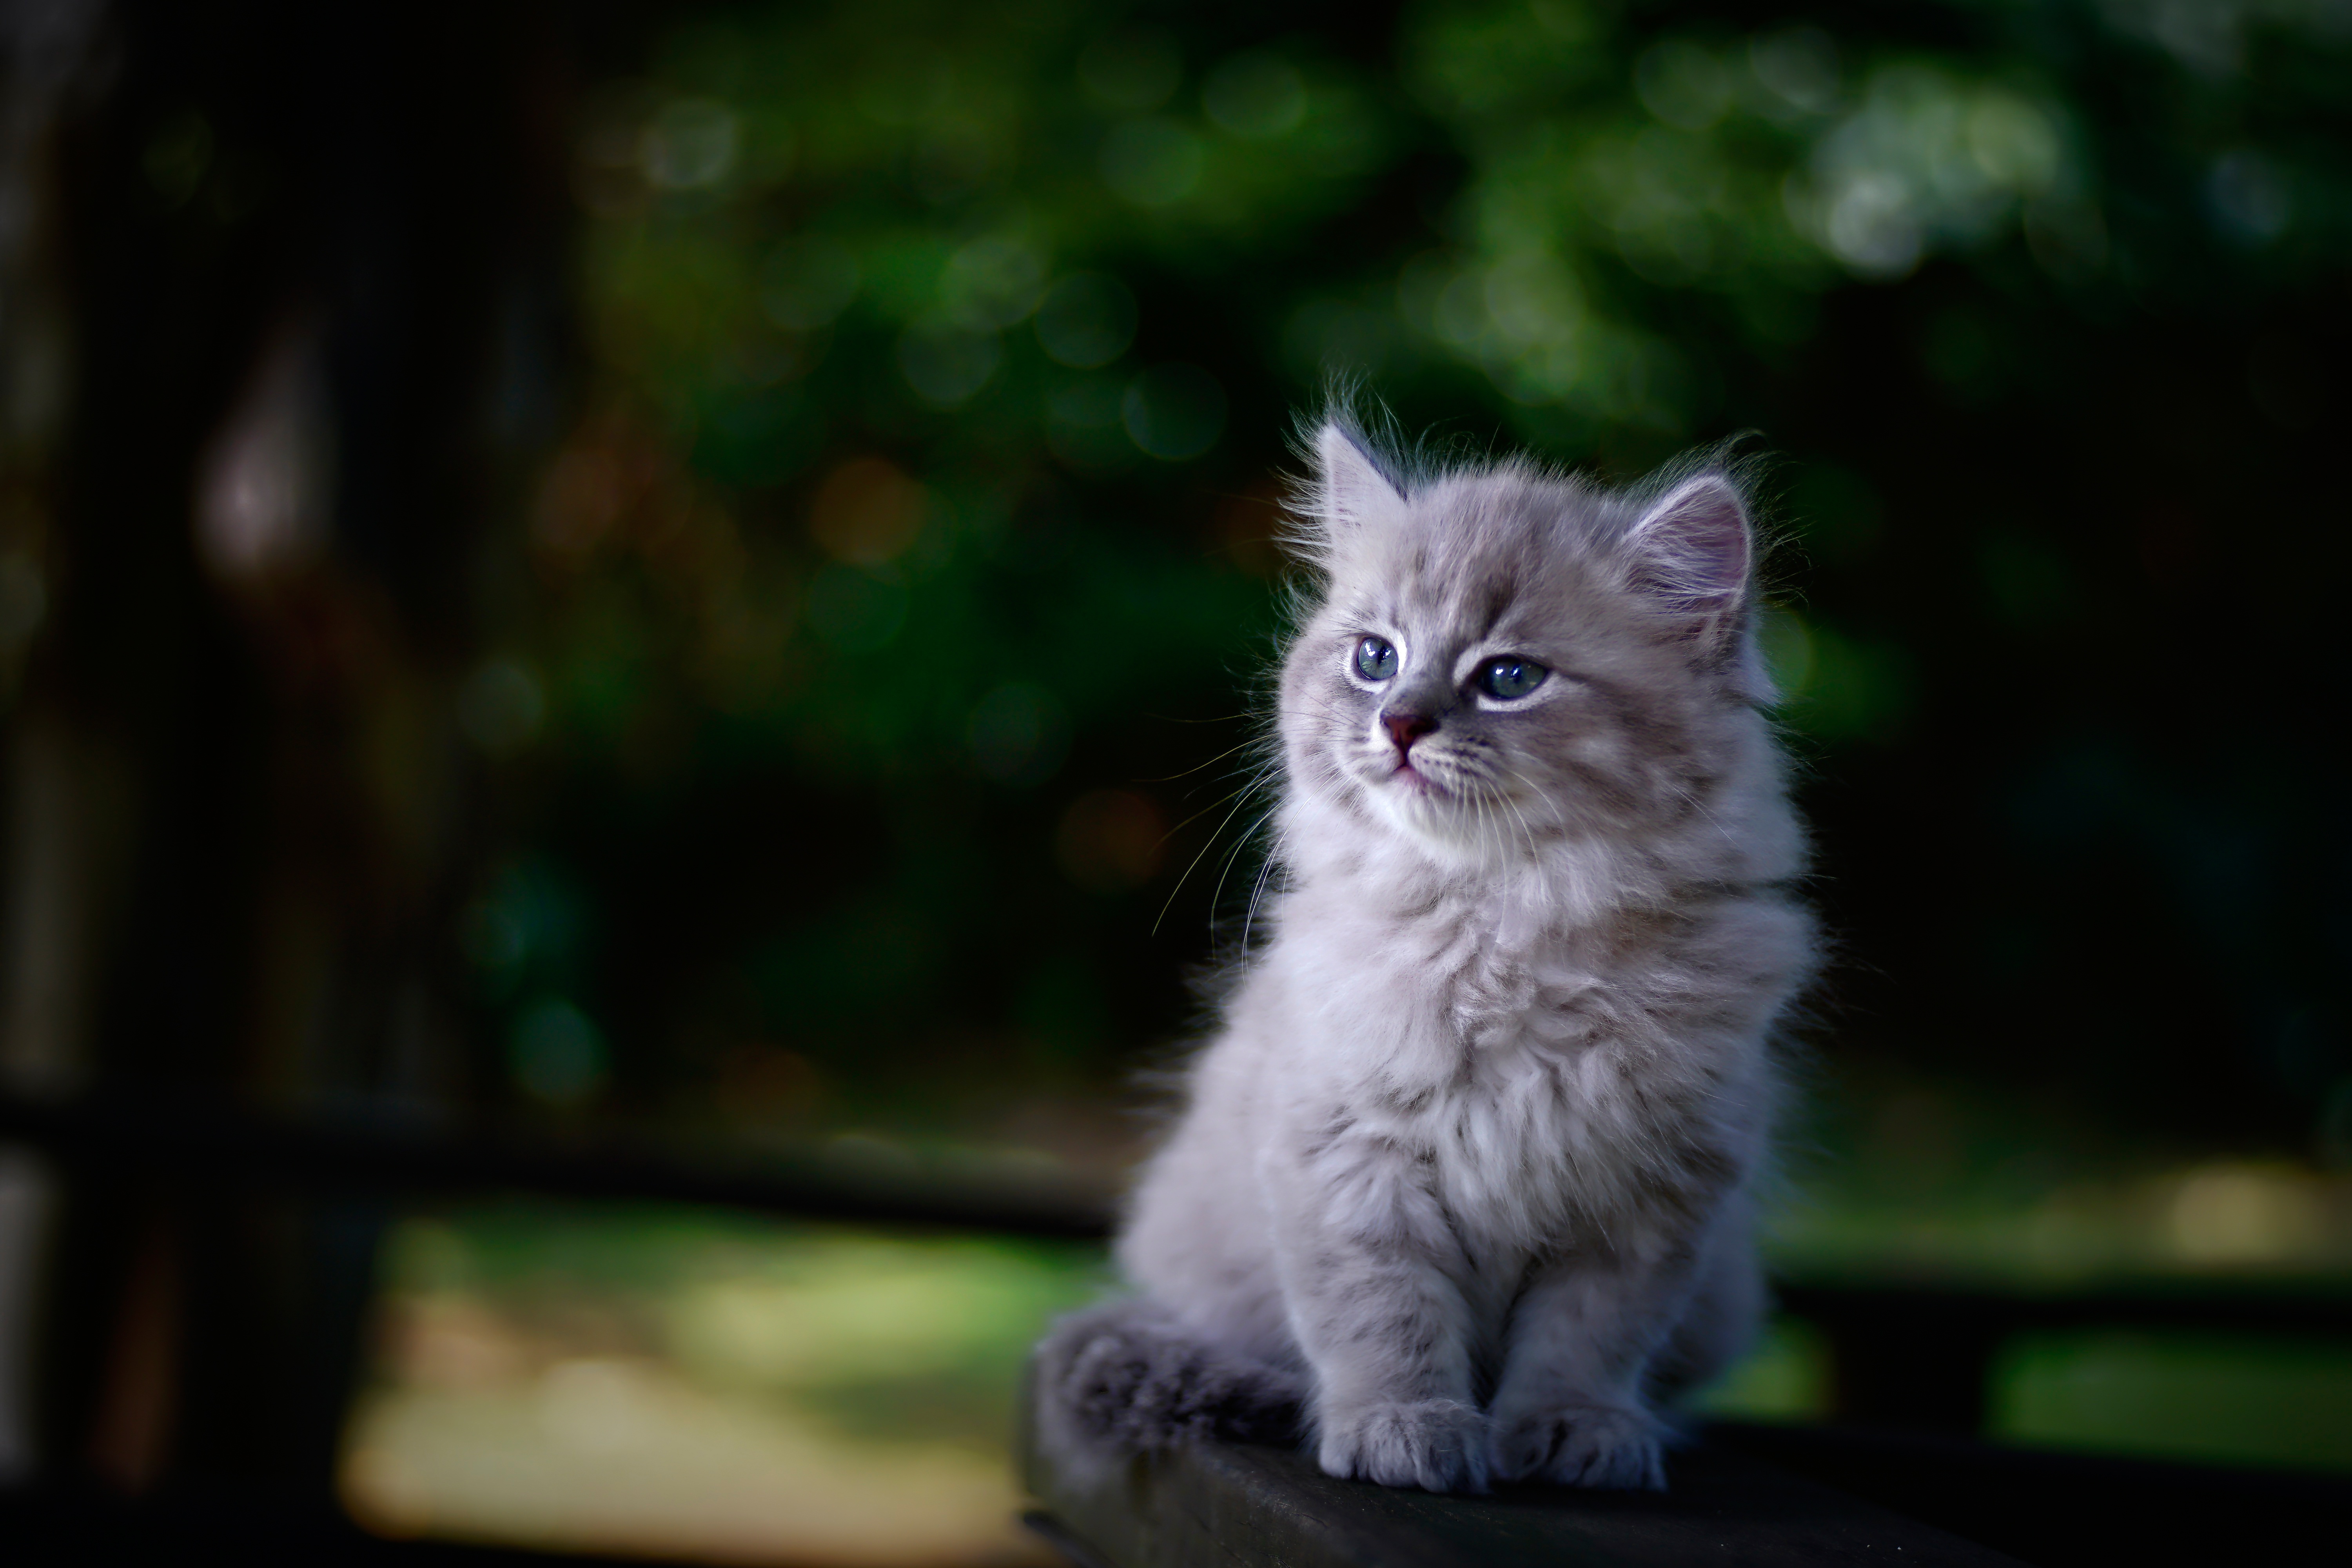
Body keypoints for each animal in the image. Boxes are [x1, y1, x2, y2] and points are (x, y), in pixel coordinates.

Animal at [1035, 416, 1816, 1495]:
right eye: (1376, 656)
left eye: (1511, 678)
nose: (1399, 721)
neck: (1503, 926)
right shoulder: (1349, 1164)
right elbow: (1385, 1318)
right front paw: (1403, 1430)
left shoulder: (1647, 1203)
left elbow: (1586, 1341)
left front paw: (1570, 1430)